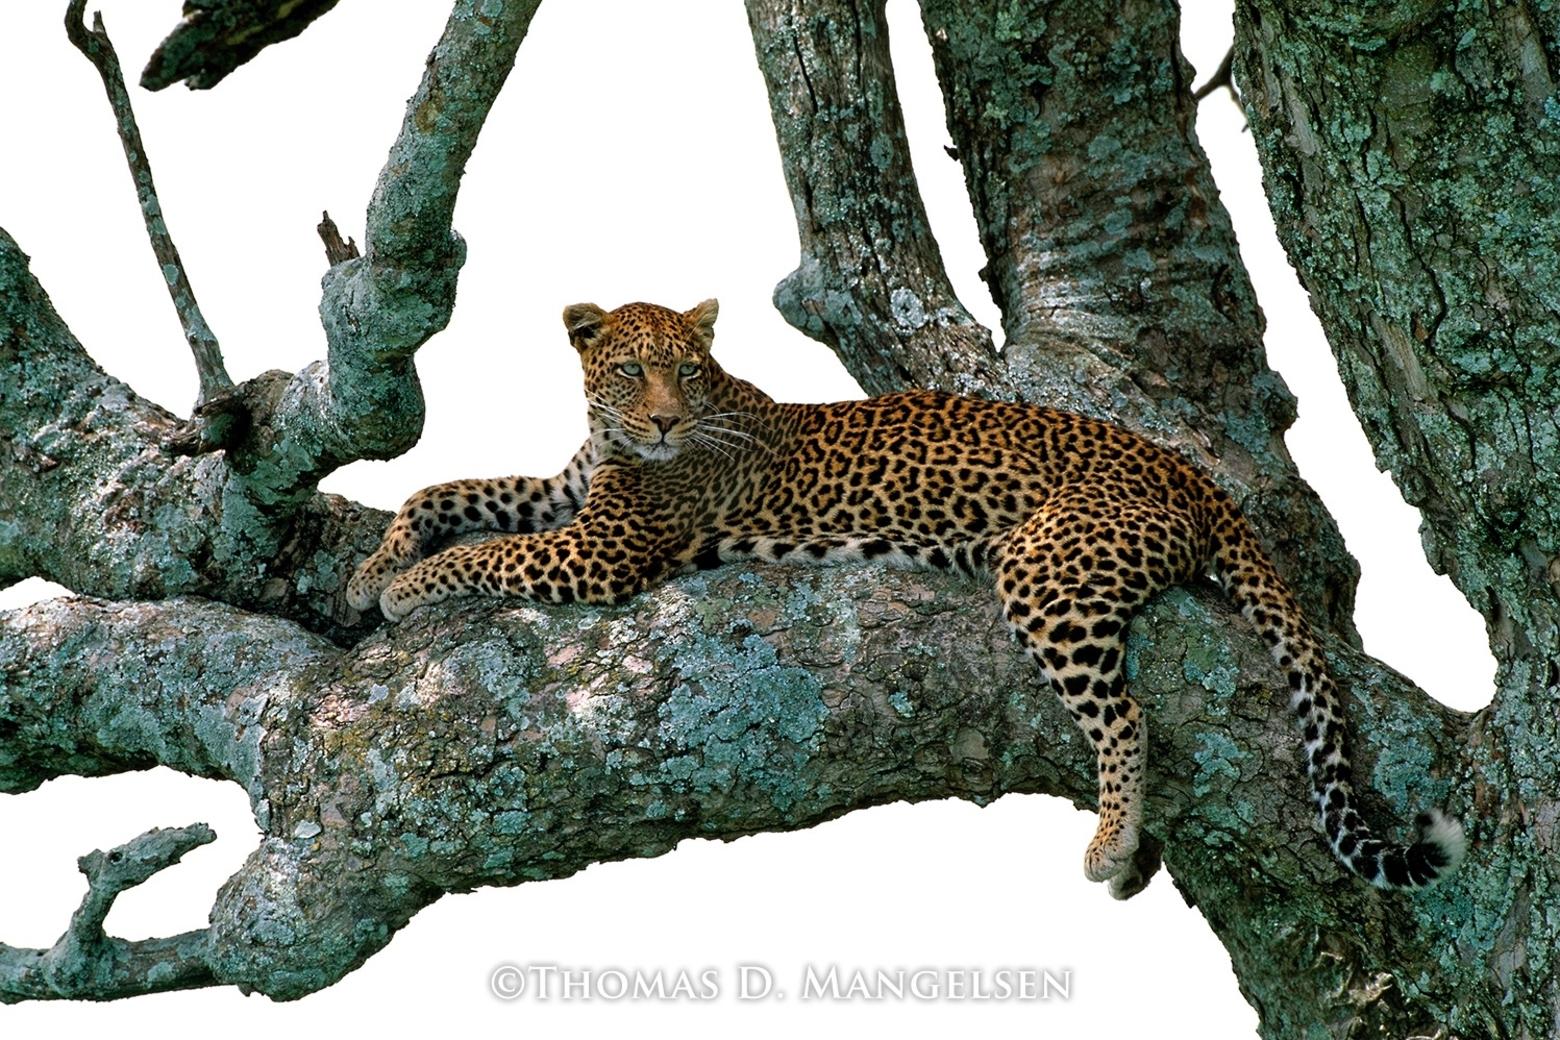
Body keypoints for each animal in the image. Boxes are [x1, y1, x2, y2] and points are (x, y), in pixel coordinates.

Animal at [347, 296, 1466, 898]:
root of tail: (1189, 472)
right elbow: (451, 491)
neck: (618, 442)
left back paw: (1110, 839)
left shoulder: (600, 548)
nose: (663, 423)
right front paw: (374, 565)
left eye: (686, 372)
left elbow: (489, 552)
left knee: (1127, 713)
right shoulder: (568, 494)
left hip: (1047, 568)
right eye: (628, 370)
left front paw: (403, 588)